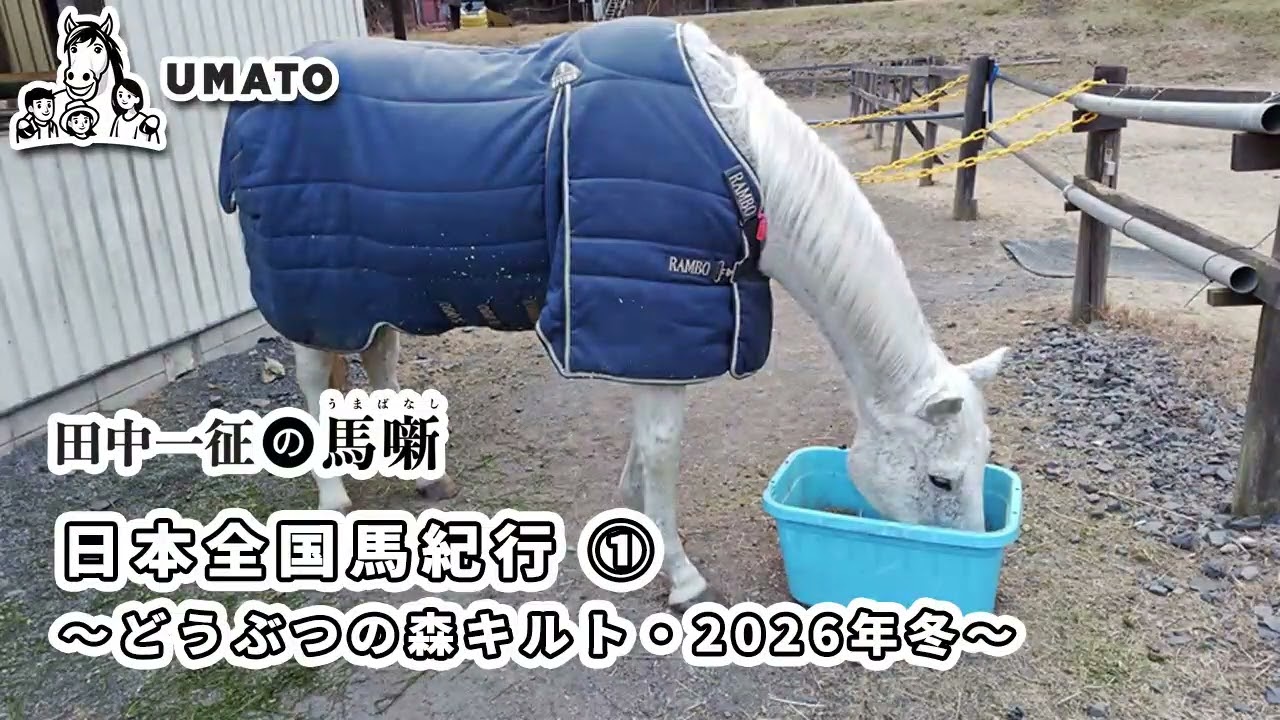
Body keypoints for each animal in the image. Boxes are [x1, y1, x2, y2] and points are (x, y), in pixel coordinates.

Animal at [216, 16, 1008, 612]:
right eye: (943, 479)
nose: (971, 558)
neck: (738, 160)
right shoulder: (652, 323)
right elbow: (662, 451)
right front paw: (681, 577)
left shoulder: (651, 336)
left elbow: (644, 445)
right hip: (314, 296)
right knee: (315, 384)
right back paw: (334, 499)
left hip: (377, 288)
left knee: (380, 361)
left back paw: (422, 479)